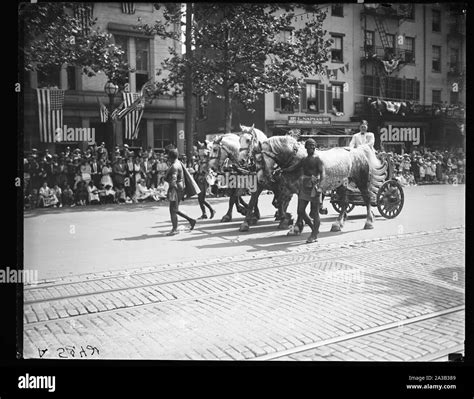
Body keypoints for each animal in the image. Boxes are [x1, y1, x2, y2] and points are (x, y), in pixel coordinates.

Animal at [258, 136, 386, 241]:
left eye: (261, 159)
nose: (262, 179)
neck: (296, 159)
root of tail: (357, 151)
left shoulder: (298, 190)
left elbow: (297, 210)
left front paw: (297, 226)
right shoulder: (287, 189)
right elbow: (282, 205)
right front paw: (290, 221)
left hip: (361, 180)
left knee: (367, 198)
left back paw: (368, 222)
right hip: (342, 184)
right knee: (344, 202)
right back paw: (338, 224)